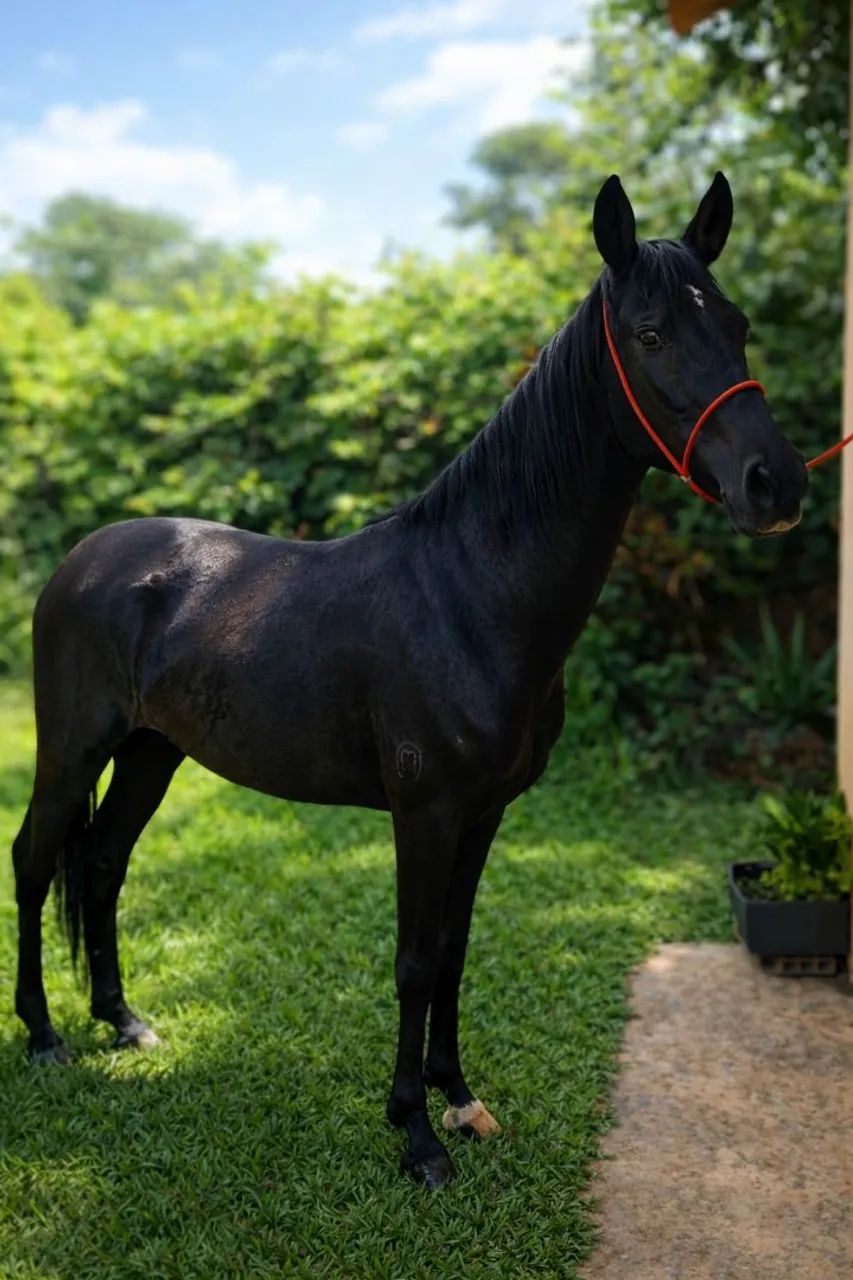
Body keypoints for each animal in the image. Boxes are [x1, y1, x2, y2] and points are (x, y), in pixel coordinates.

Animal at [12, 173, 807, 1189]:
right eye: (651, 333)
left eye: (738, 325)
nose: (774, 484)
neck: (470, 590)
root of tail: (84, 559)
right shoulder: (424, 813)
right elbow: (415, 961)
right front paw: (415, 1134)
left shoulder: (484, 813)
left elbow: (457, 952)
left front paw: (457, 1097)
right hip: (75, 749)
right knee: (35, 859)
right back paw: (42, 1037)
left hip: (154, 753)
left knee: (104, 862)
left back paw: (123, 1023)